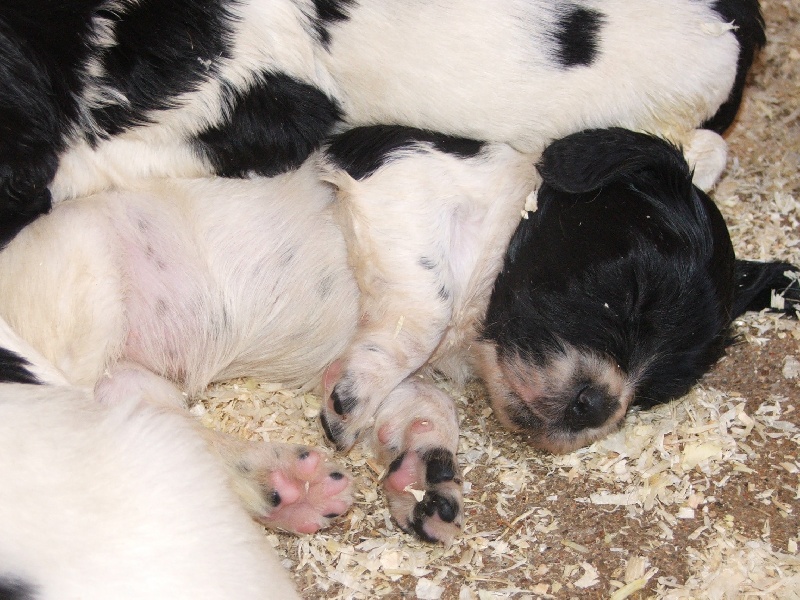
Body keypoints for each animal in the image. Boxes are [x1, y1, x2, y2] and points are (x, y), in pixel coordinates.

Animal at [0, 125, 796, 546]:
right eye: (625, 294)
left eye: (660, 387)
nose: (598, 408)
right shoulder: (391, 184)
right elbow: (424, 303)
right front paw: (353, 403)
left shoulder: (422, 371)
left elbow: (421, 404)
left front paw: (422, 470)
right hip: (81, 302)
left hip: (135, 382)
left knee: (159, 434)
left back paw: (286, 487)